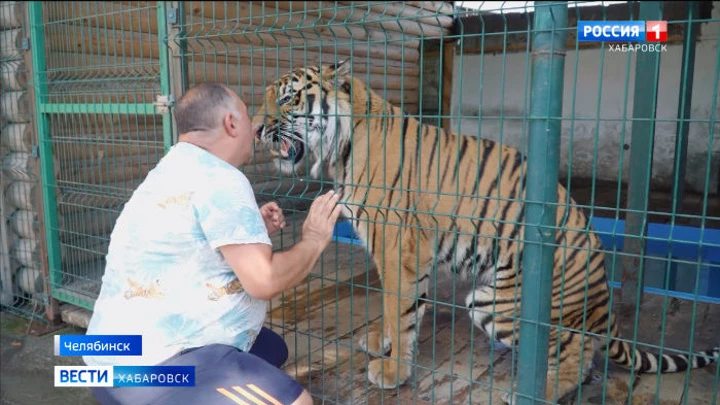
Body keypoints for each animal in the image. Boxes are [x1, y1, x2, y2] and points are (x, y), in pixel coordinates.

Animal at [249, 58, 720, 402]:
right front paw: (381, 343)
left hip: (499, 304)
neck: (340, 150)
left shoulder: (396, 246)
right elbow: (402, 308)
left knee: (574, 353)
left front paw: (392, 370)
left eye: (288, 99)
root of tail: (604, 293)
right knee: (583, 354)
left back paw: (537, 391)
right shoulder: (410, 252)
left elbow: (398, 308)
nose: (254, 129)